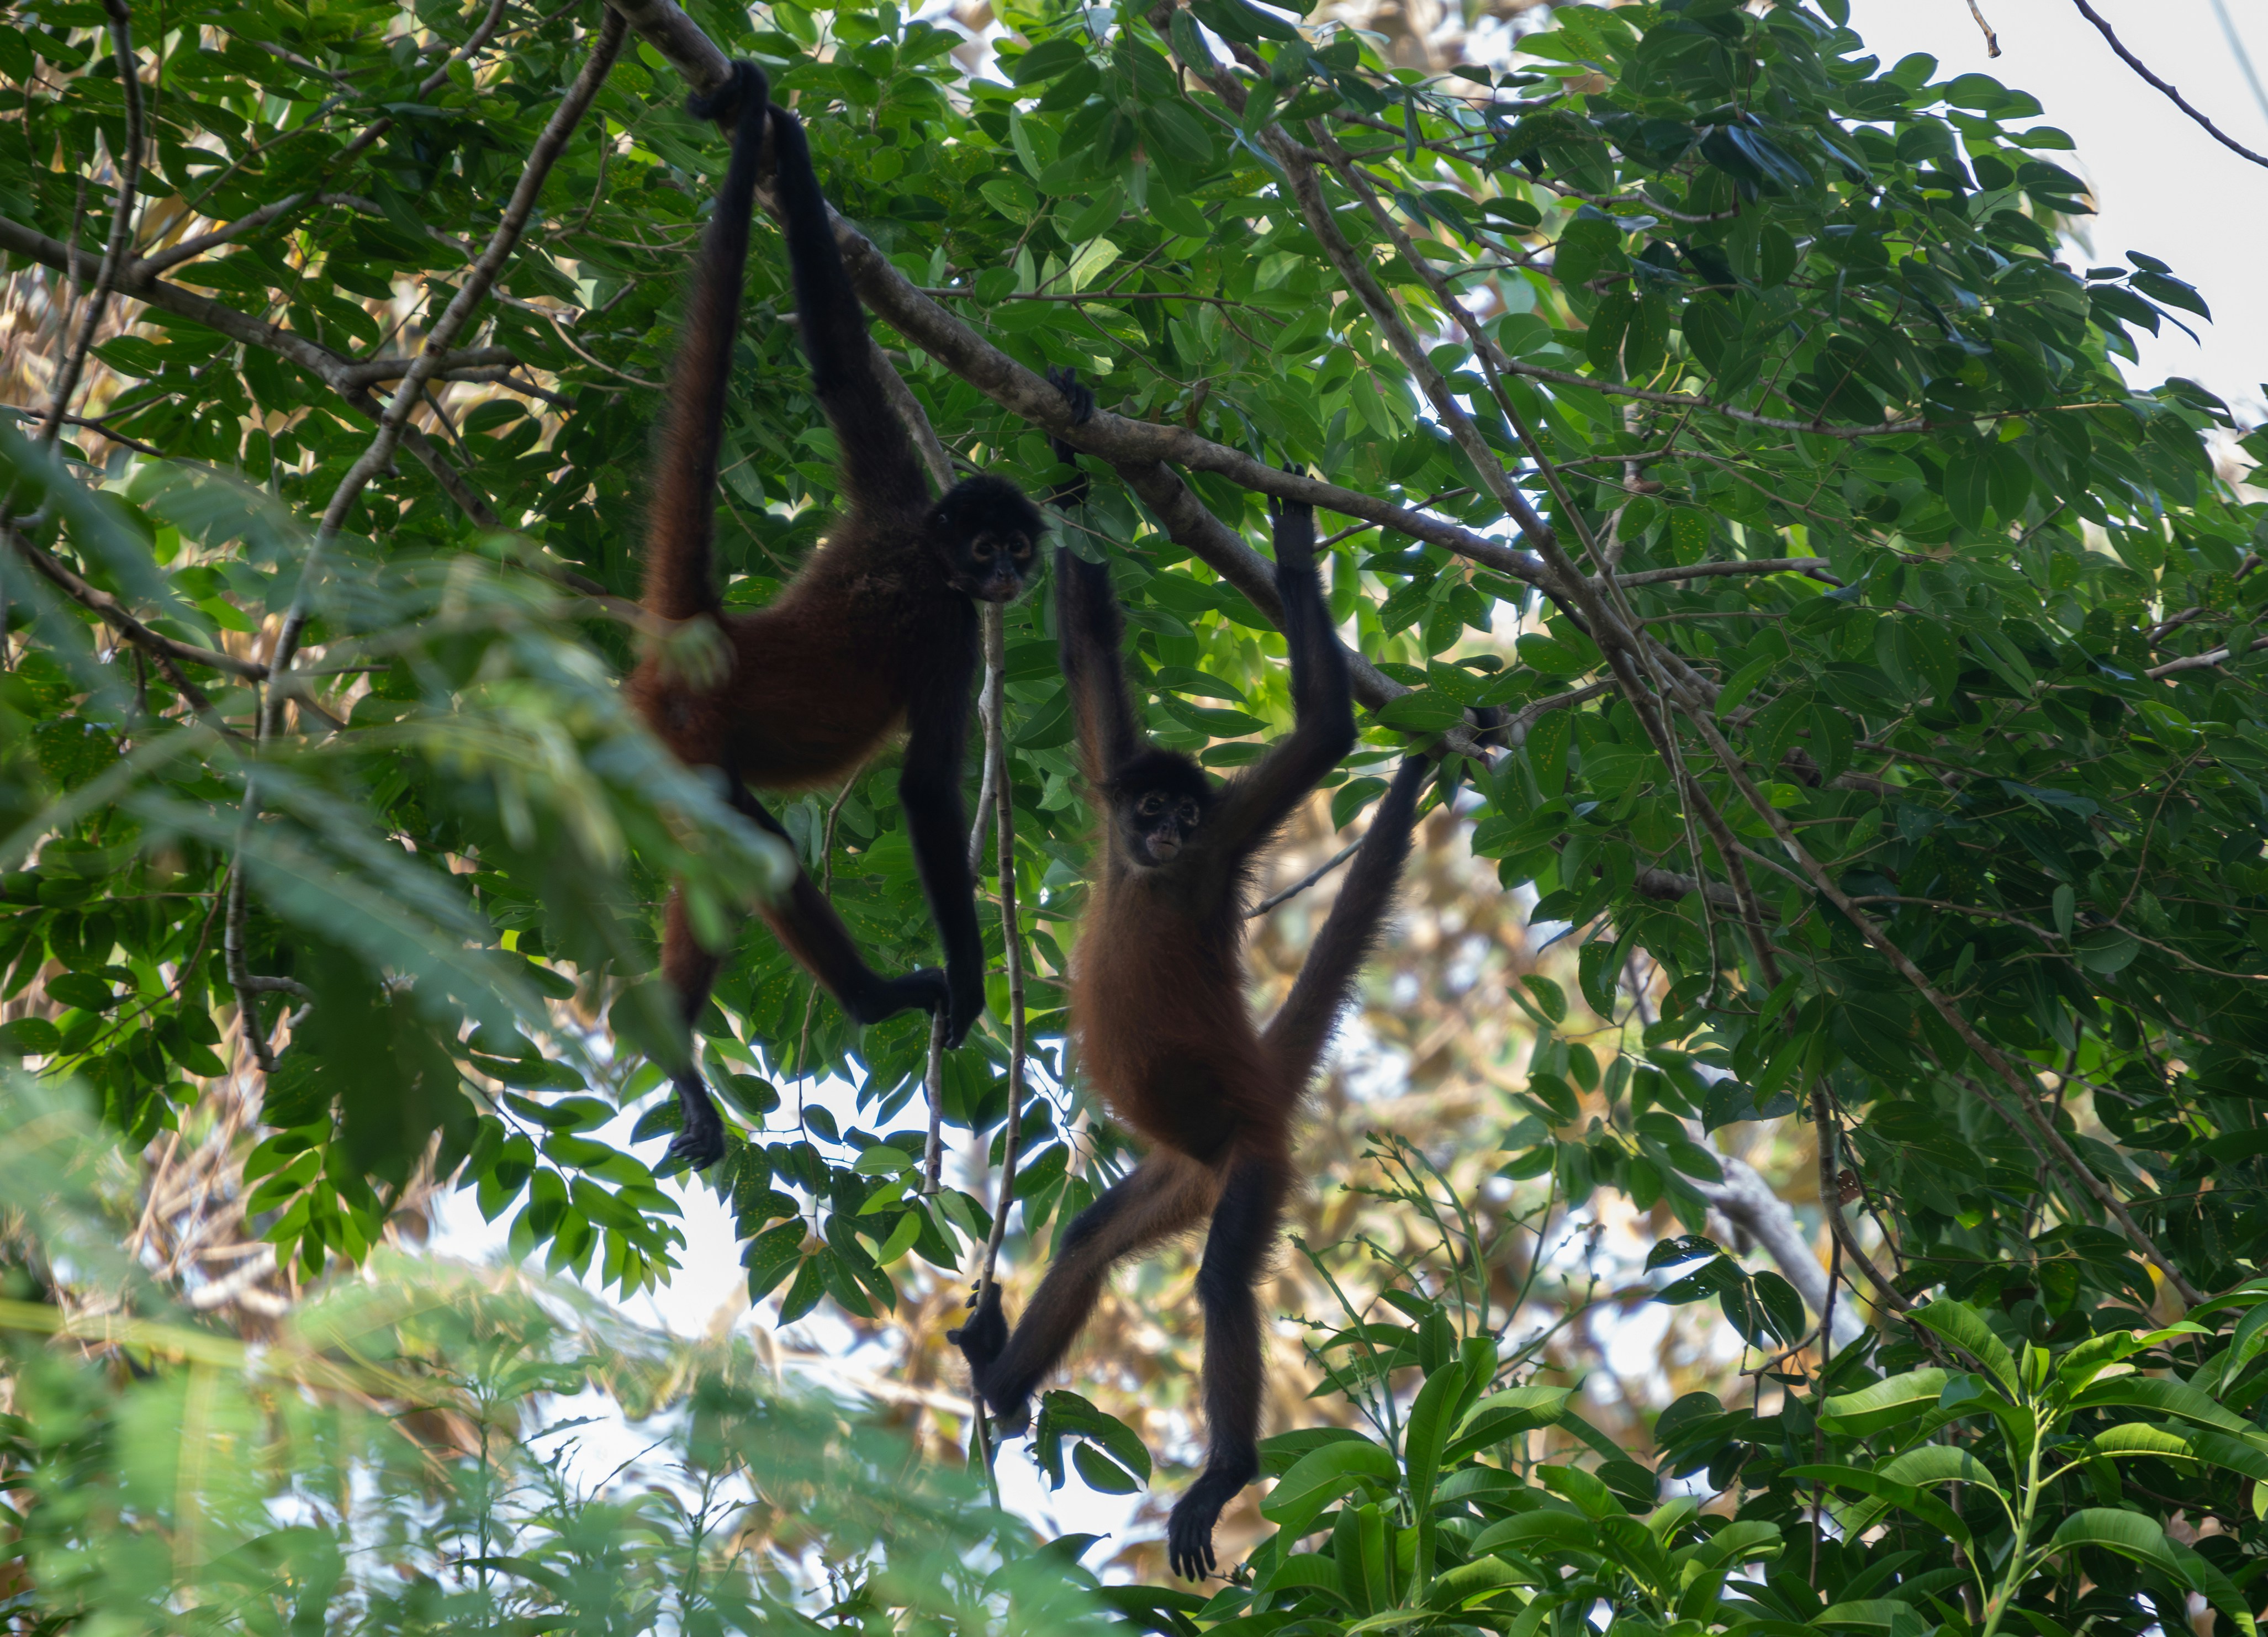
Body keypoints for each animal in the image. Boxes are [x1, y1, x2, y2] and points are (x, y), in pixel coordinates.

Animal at [627, 64, 1049, 1172]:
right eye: (986, 551)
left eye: (1018, 545)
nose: (1009, 575)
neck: (924, 553)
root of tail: (713, 636)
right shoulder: (948, 627)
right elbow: (926, 791)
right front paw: (972, 985)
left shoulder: (893, 492)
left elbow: (839, 360)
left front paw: (781, 133)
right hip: (689, 738)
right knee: (761, 853)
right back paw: (867, 1000)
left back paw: (667, 1040)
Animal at [950, 409, 1432, 1579]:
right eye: (1148, 806)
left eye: (1183, 813)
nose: (1163, 829)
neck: (1152, 878)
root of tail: (1253, 1090)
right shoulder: (1108, 791)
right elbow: (1085, 646)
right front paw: (1069, 445)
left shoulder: (1219, 854)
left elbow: (1326, 733)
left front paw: (1294, 538)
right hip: (1180, 1173)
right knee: (1088, 1237)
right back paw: (1002, 1382)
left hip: (1254, 1159)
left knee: (1220, 1284)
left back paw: (1224, 1471)